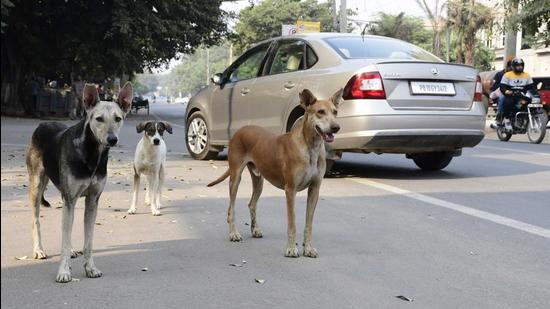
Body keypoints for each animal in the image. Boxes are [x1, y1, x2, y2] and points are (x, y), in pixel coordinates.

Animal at [26, 80, 133, 280]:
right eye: (99, 119)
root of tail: (43, 123)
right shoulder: (70, 198)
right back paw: (39, 250)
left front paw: (90, 268)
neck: (91, 154)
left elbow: (87, 241)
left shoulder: (92, 200)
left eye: (118, 119)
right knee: (36, 220)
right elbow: (64, 239)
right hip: (36, 186)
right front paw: (63, 271)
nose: (112, 139)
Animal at [209, 89, 342, 258]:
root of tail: (240, 130)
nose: (336, 127)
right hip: (235, 177)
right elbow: (292, 224)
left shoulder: (314, 190)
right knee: (231, 208)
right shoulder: (290, 190)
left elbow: (308, 224)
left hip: (258, 180)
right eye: (320, 112)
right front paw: (291, 249)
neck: (311, 147)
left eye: (335, 112)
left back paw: (255, 229)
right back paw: (234, 234)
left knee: (252, 204)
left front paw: (308, 248)